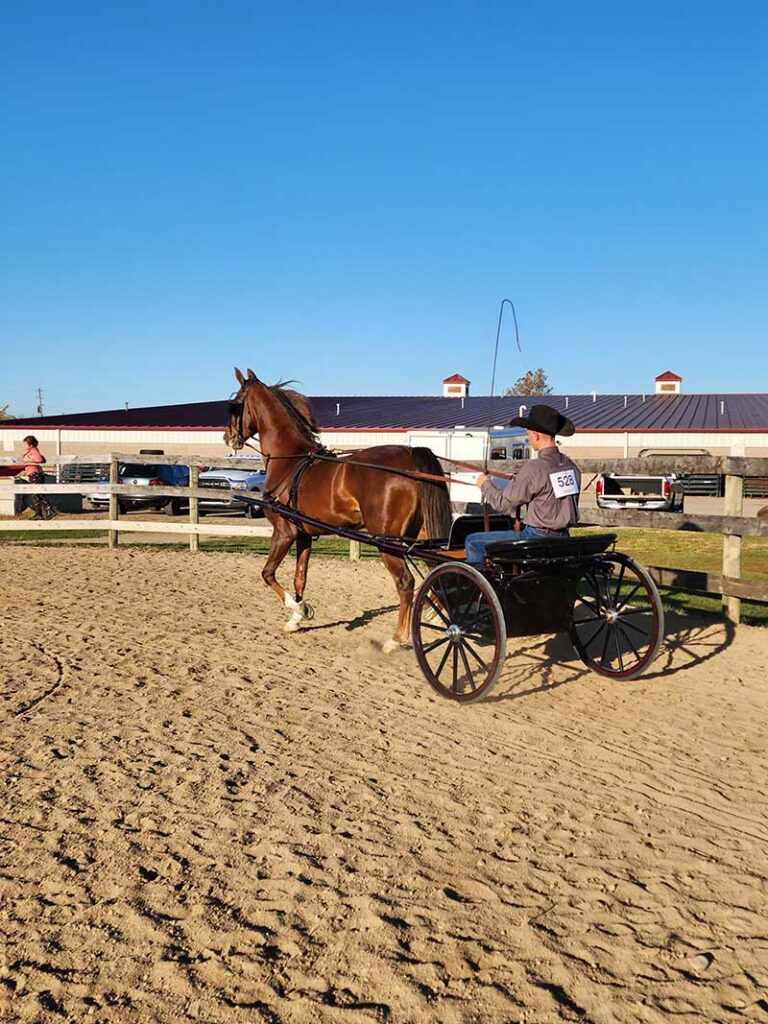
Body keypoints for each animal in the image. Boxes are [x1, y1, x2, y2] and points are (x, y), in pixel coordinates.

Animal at [222, 368, 454, 651]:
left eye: (235, 404)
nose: (228, 437)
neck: (290, 461)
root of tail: (410, 458)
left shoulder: (284, 532)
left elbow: (267, 573)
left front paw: (297, 610)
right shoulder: (304, 534)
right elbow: (300, 577)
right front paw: (297, 616)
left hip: (388, 543)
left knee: (406, 583)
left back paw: (397, 640)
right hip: (421, 536)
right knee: (437, 571)